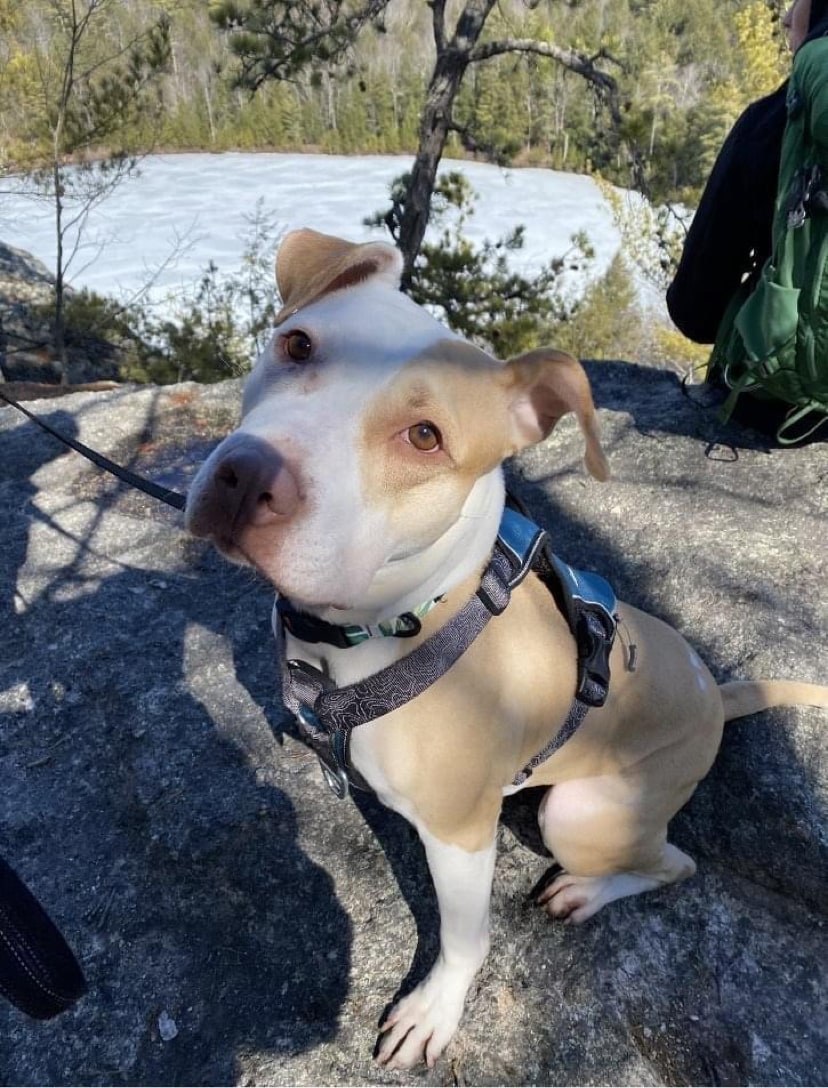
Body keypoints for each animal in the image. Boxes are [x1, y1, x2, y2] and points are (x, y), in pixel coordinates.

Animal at [185, 228, 828, 1070]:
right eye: (296, 345)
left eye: (425, 437)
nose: (244, 476)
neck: (394, 623)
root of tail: (716, 695)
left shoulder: (460, 833)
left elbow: (465, 939)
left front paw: (435, 1010)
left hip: (581, 814)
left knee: (672, 862)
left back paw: (585, 890)